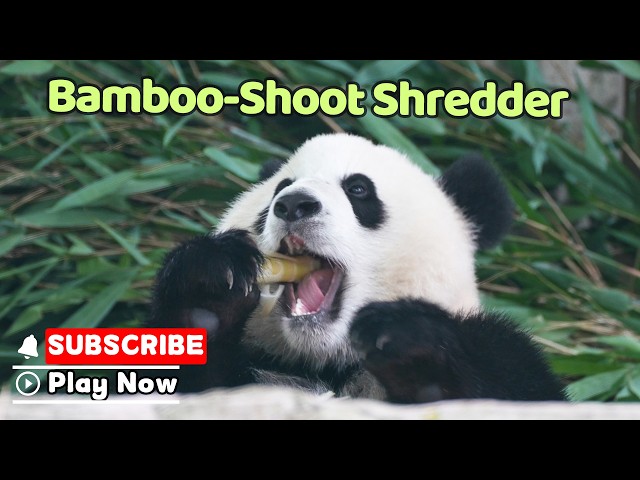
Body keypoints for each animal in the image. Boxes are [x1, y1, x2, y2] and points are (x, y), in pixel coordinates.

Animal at [148, 132, 567, 403]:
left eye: (359, 190)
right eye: (280, 188)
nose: (294, 204)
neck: (328, 363)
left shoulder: (508, 360)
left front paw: (409, 344)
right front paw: (208, 285)